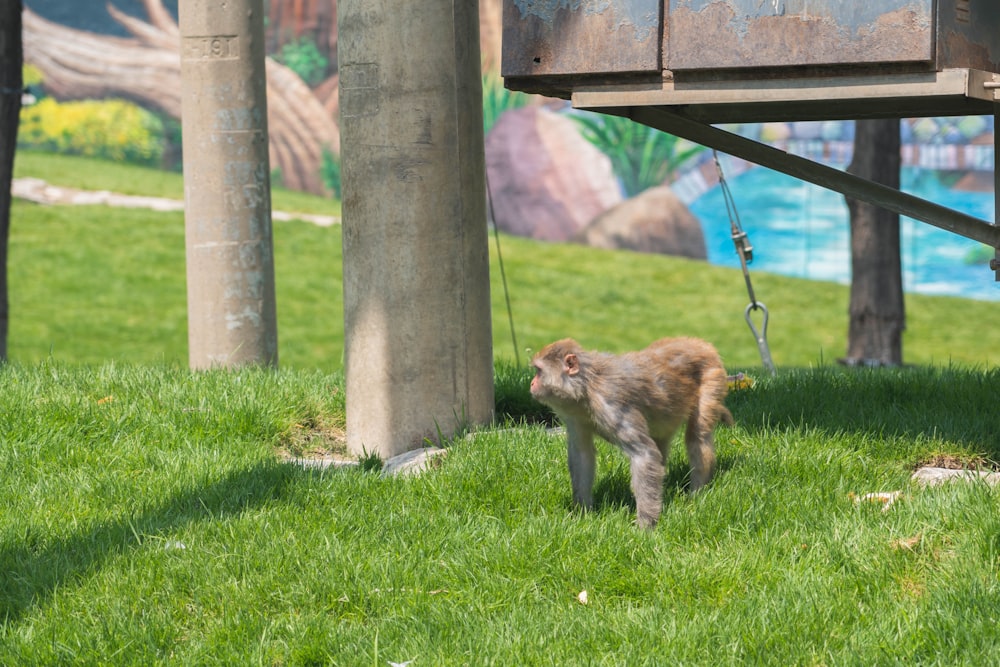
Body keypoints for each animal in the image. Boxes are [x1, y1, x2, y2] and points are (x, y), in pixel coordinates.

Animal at [532, 336, 736, 528]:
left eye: (539, 371)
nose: (532, 383)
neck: (587, 386)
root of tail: (702, 344)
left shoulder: (611, 404)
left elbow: (644, 454)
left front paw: (645, 526)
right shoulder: (575, 415)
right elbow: (582, 455)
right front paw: (582, 513)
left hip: (712, 376)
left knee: (697, 436)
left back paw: (696, 493)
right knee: (661, 441)